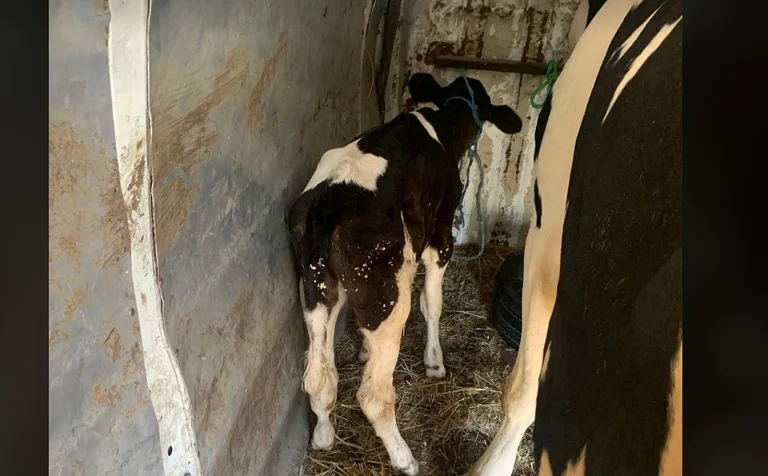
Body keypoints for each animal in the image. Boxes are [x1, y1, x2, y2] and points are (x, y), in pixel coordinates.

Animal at [288, 73, 523, 474]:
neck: (442, 127)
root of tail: (331, 199)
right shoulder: (441, 237)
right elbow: (433, 303)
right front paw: (434, 361)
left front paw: (364, 352)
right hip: (388, 296)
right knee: (372, 395)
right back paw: (404, 458)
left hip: (316, 292)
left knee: (320, 380)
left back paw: (323, 436)